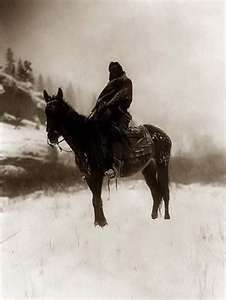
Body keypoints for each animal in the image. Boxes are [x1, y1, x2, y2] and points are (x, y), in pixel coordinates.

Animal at [43, 88, 171, 226]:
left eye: (58, 111)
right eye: (46, 112)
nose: (51, 136)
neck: (85, 139)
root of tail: (164, 135)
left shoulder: (97, 175)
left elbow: (97, 199)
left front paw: (102, 223)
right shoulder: (89, 176)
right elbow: (95, 200)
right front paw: (98, 224)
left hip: (162, 164)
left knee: (165, 191)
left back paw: (167, 218)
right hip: (148, 169)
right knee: (156, 193)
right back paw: (153, 218)